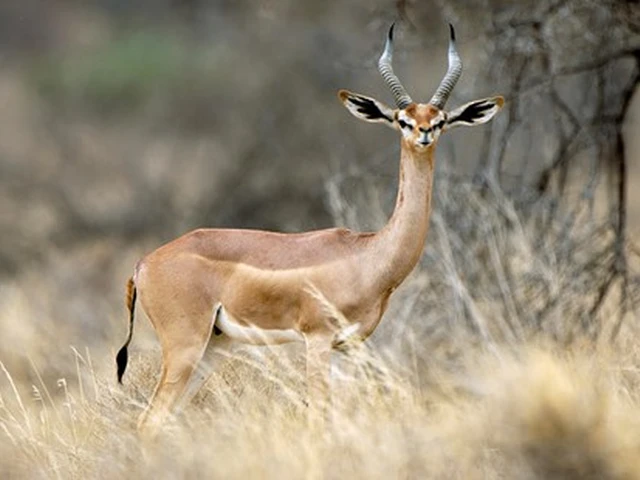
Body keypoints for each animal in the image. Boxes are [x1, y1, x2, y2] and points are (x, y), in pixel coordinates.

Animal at [116, 24, 503, 433]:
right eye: (402, 119)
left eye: (441, 118)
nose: (425, 133)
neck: (367, 255)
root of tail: (143, 264)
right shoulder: (317, 340)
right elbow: (319, 416)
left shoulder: (350, 346)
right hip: (186, 347)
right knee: (148, 421)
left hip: (214, 346)